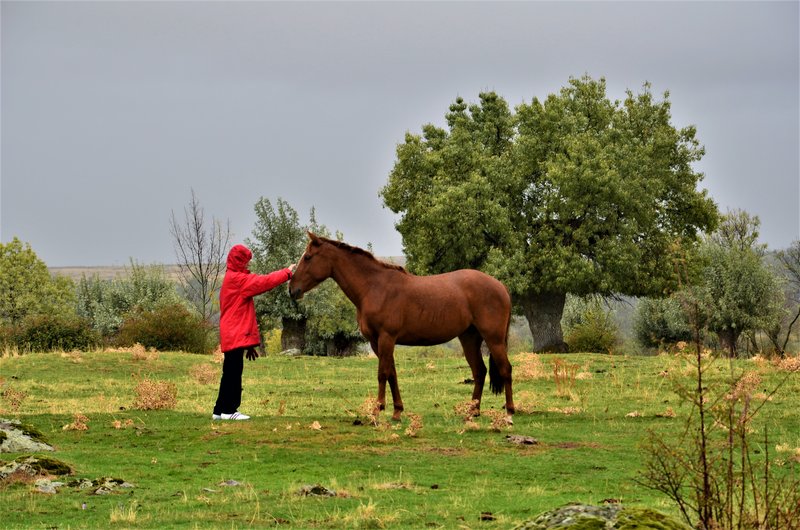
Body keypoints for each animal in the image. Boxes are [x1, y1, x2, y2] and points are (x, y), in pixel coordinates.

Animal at [288, 231, 512, 420]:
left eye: (308, 257)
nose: (292, 290)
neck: (374, 287)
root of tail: (500, 286)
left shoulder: (386, 337)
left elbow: (383, 374)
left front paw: (377, 409)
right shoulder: (377, 342)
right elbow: (392, 374)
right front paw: (397, 411)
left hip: (493, 338)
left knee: (505, 369)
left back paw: (509, 412)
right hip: (469, 338)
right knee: (479, 371)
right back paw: (473, 411)